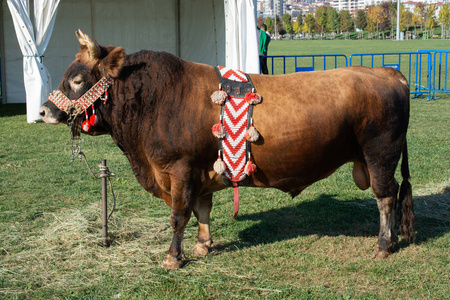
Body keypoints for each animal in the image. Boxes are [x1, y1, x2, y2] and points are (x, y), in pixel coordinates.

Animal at [40, 29, 414, 270]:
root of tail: (388, 72)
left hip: (380, 155)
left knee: (385, 196)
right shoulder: (201, 171)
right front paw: (203, 245)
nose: (43, 111)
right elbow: (201, 210)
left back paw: (383, 246)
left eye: (77, 80)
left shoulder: (180, 169)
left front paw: (172, 257)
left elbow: (179, 215)